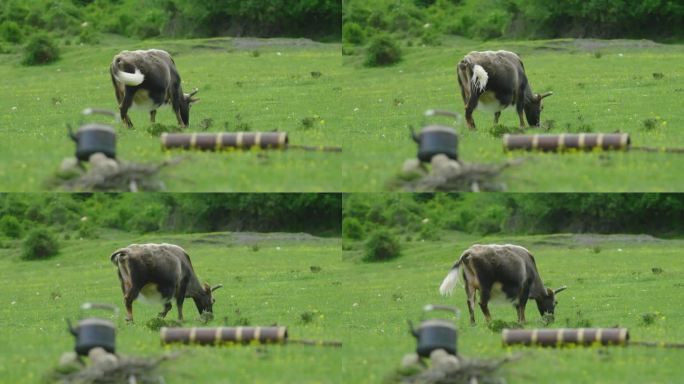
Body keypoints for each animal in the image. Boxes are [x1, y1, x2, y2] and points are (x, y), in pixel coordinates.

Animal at [438, 243, 568, 324]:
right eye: (555, 302)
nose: (551, 319)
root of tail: (469, 252)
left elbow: (517, 306)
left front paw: (519, 321)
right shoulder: (524, 288)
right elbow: (522, 305)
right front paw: (523, 321)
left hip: (469, 285)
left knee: (471, 303)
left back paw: (473, 323)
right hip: (485, 286)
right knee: (482, 303)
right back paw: (490, 322)